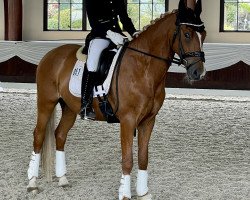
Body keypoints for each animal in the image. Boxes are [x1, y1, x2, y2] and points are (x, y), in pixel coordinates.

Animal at [26, 1, 207, 200]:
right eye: (187, 34)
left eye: (204, 35)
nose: (198, 73)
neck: (144, 68)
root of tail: (50, 55)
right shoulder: (128, 121)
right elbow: (127, 159)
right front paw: (125, 194)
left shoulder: (148, 120)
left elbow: (143, 158)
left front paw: (143, 193)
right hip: (46, 102)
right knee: (38, 135)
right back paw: (32, 183)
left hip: (69, 108)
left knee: (60, 134)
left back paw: (63, 179)